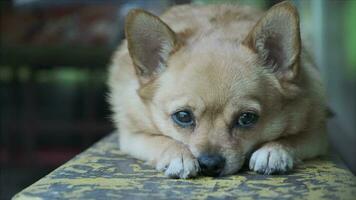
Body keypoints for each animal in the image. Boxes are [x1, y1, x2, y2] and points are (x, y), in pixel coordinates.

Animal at [108, 0, 328, 177]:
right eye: (183, 116)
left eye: (246, 118)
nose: (210, 164)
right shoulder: (131, 136)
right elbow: (160, 139)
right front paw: (178, 155)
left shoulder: (317, 135)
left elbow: (291, 138)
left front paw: (273, 150)